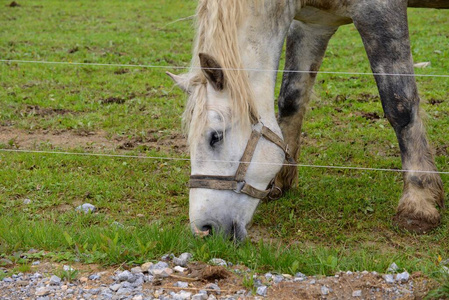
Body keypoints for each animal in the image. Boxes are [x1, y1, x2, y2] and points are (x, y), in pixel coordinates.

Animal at [167, 0, 444, 239]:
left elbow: (400, 104)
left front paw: (419, 203)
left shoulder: (381, 12)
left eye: (215, 137)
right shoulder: (313, 24)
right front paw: (280, 182)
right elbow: (291, 99)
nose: (203, 229)